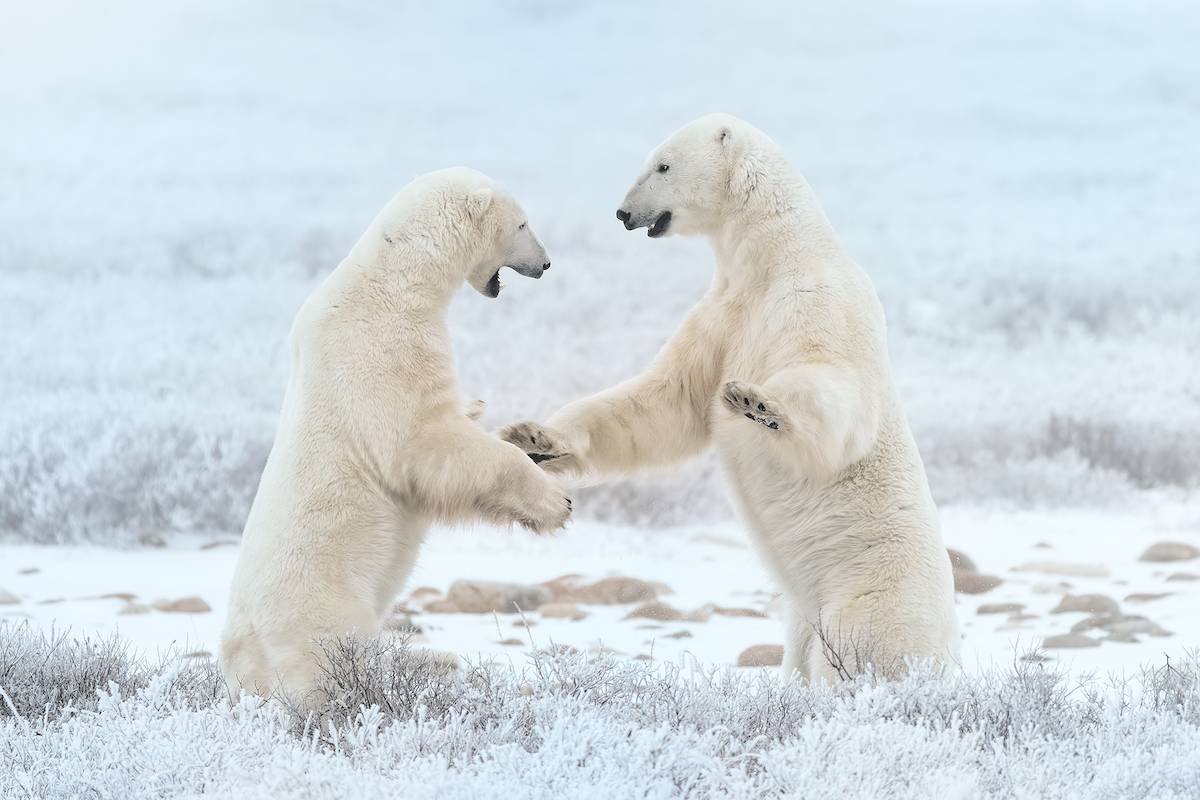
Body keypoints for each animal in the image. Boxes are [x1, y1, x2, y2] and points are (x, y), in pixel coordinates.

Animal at [220, 167, 572, 704]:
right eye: (522, 224)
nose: (546, 263)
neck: (394, 281)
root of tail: (240, 667)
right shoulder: (382, 351)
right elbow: (426, 444)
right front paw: (557, 503)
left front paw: (530, 439)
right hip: (319, 610)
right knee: (345, 662)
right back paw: (430, 666)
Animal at [502, 114, 959, 681]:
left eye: (663, 165)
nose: (623, 212)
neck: (776, 258)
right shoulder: (722, 314)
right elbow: (666, 399)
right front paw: (533, 439)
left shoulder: (820, 300)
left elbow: (837, 387)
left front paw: (758, 403)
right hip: (804, 617)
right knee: (801, 658)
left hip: (871, 592)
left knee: (859, 652)